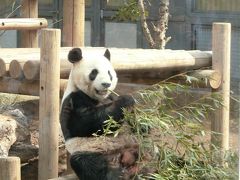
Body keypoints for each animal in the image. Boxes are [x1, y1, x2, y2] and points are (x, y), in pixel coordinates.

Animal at [60, 47, 135, 180]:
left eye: (109, 73)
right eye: (94, 73)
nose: (106, 84)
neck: (99, 98)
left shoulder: (110, 96)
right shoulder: (74, 99)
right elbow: (85, 123)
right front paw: (126, 100)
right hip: (90, 150)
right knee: (87, 163)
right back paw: (115, 175)